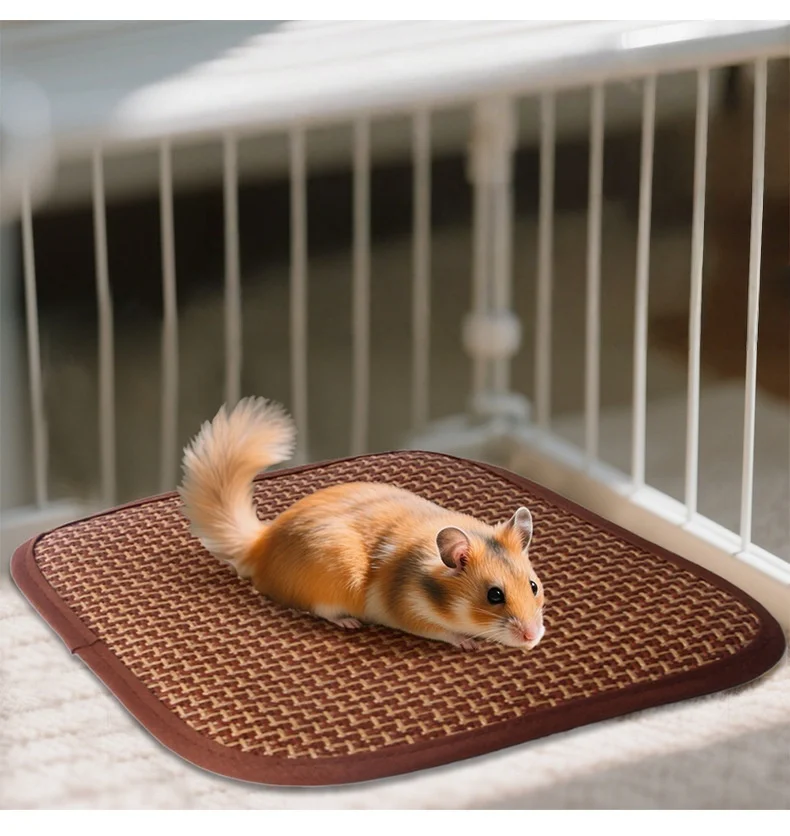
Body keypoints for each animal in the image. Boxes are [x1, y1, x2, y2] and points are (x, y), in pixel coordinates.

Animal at [179, 396, 545, 651]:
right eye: (494, 595)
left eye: (533, 586)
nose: (532, 637)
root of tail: (261, 544)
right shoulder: (410, 611)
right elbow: (442, 631)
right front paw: (468, 642)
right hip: (333, 581)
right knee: (320, 609)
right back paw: (350, 623)